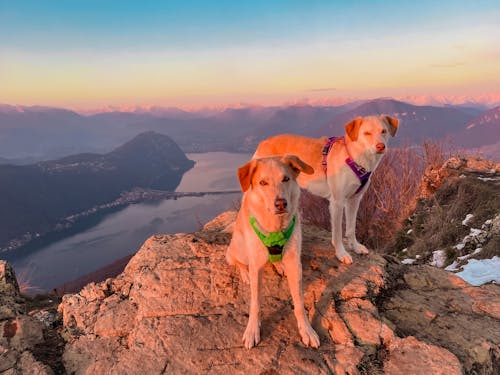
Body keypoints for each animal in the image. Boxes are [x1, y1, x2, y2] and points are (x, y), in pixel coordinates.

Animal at [225, 154, 318, 352]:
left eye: (286, 179)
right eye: (263, 182)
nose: (281, 203)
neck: (276, 227)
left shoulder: (294, 264)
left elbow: (299, 303)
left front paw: (306, 330)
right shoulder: (257, 265)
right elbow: (255, 303)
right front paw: (252, 330)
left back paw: (278, 264)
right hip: (240, 248)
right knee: (236, 259)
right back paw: (245, 273)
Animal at [254, 114, 398, 264]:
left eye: (384, 131)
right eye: (367, 133)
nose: (381, 146)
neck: (354, 157)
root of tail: (264, 142)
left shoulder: (354, 200)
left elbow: (351, 227)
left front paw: (355, 246)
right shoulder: (337, 203)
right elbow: (338, 233)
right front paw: (341, 253)